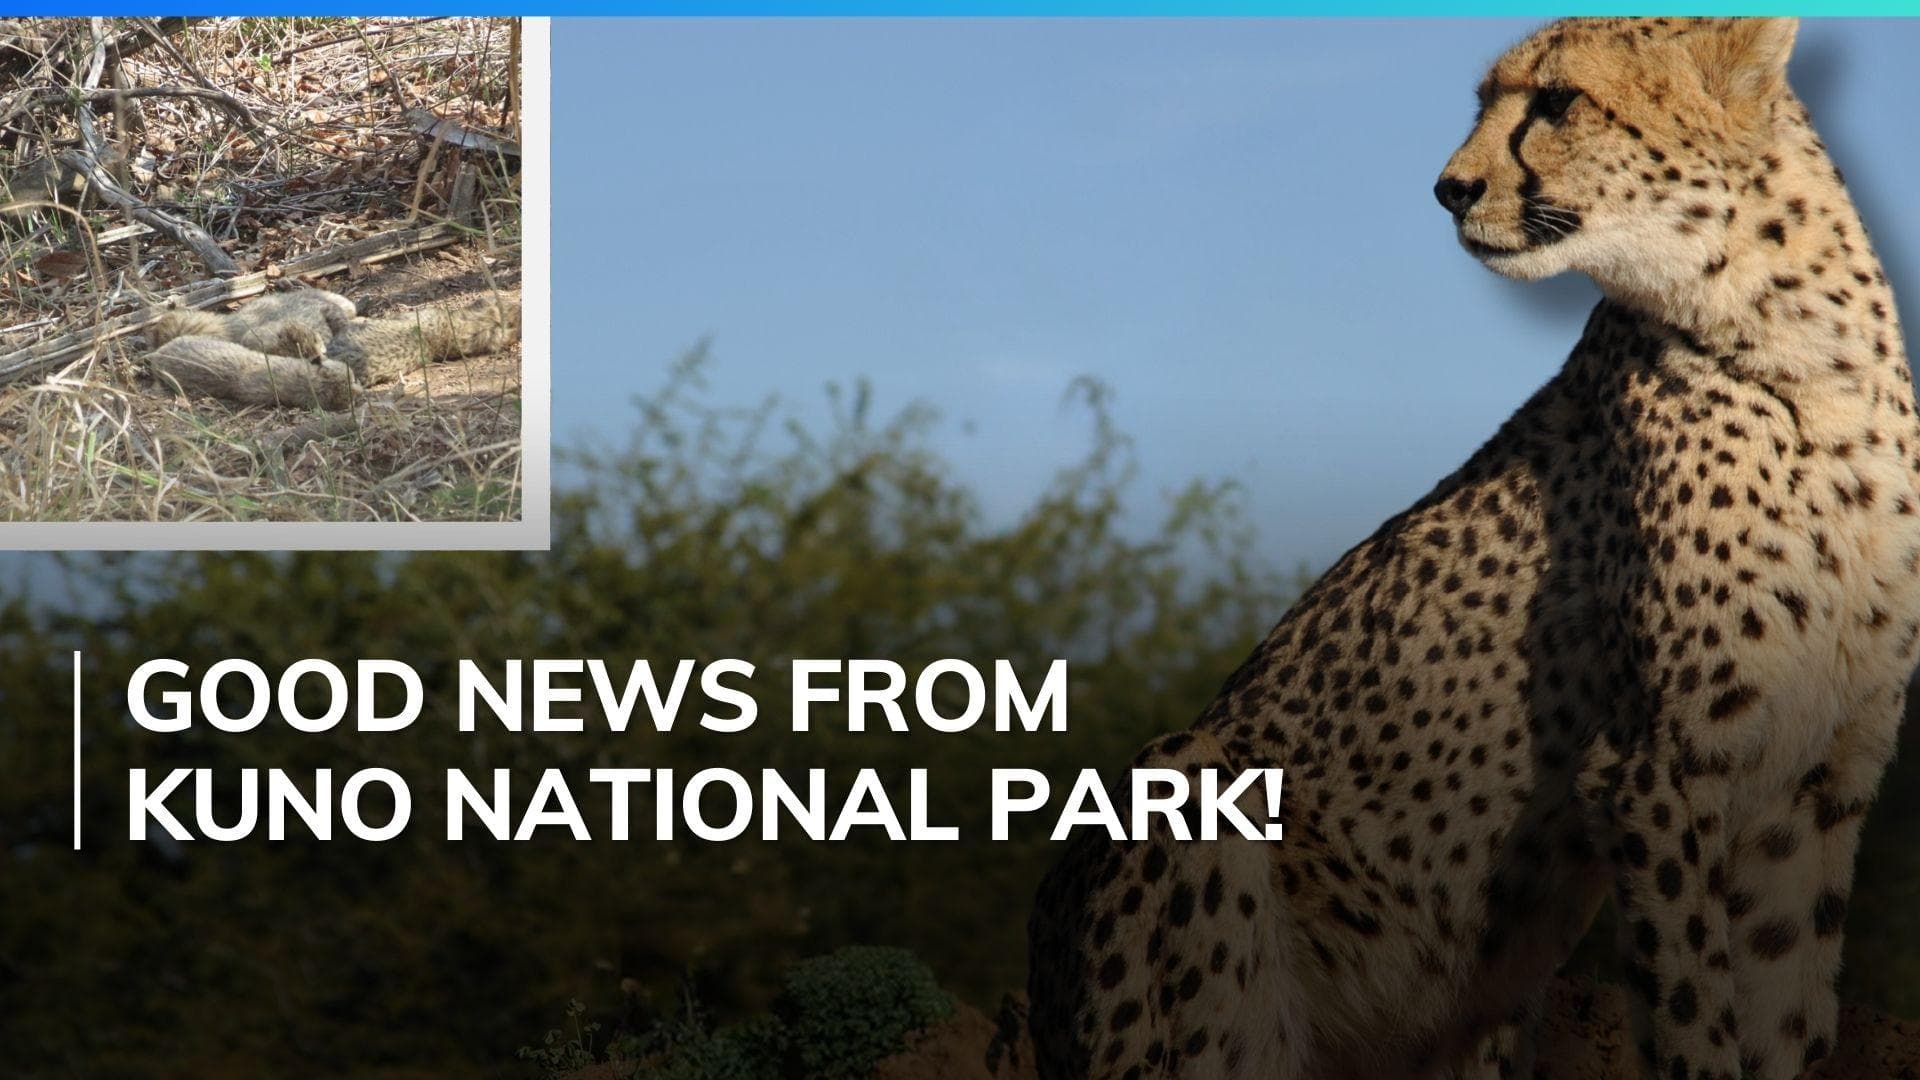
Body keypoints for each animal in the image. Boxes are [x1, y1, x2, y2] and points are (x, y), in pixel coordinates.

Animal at [1027, 18, 1915, 1080]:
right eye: (1486, 101)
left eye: (1559, 101)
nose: (1449, 188)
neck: (1803, 354)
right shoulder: (1652, 772)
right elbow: (1696, 1016)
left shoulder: (1816, 789)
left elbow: (1785, 1015)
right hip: (1188, 786)